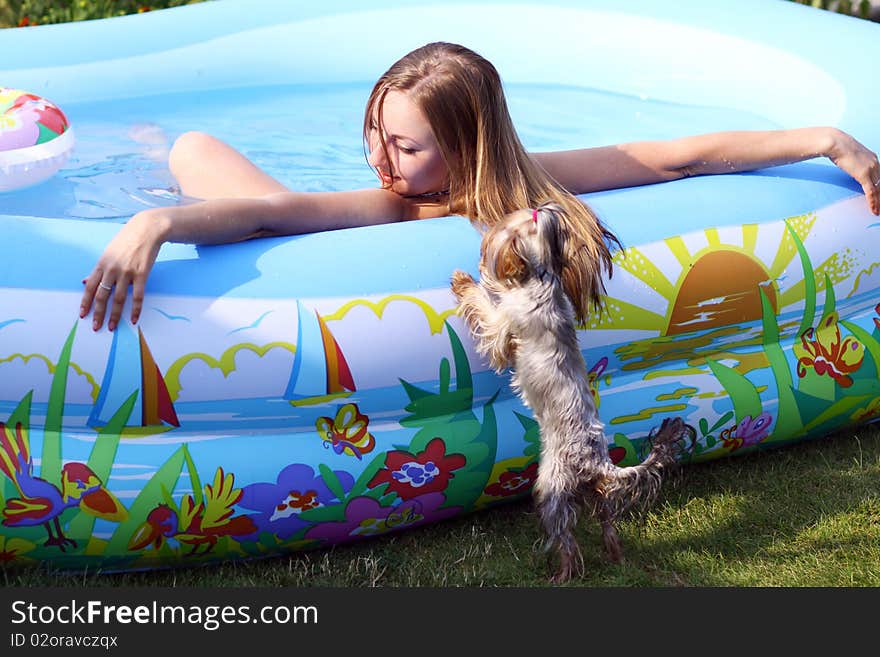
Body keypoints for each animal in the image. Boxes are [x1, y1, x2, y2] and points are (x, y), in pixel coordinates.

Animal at [454, 201, 696, 580]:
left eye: (501, 231)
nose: (484, 239)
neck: (544, 277)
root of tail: (599, 464)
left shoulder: (501, 327)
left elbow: (484, 307)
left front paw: (464, 280)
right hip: (598, 497)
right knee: (608, 523)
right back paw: (616, 558)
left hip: (552, 488)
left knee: (566, 538)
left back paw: (563, 573)